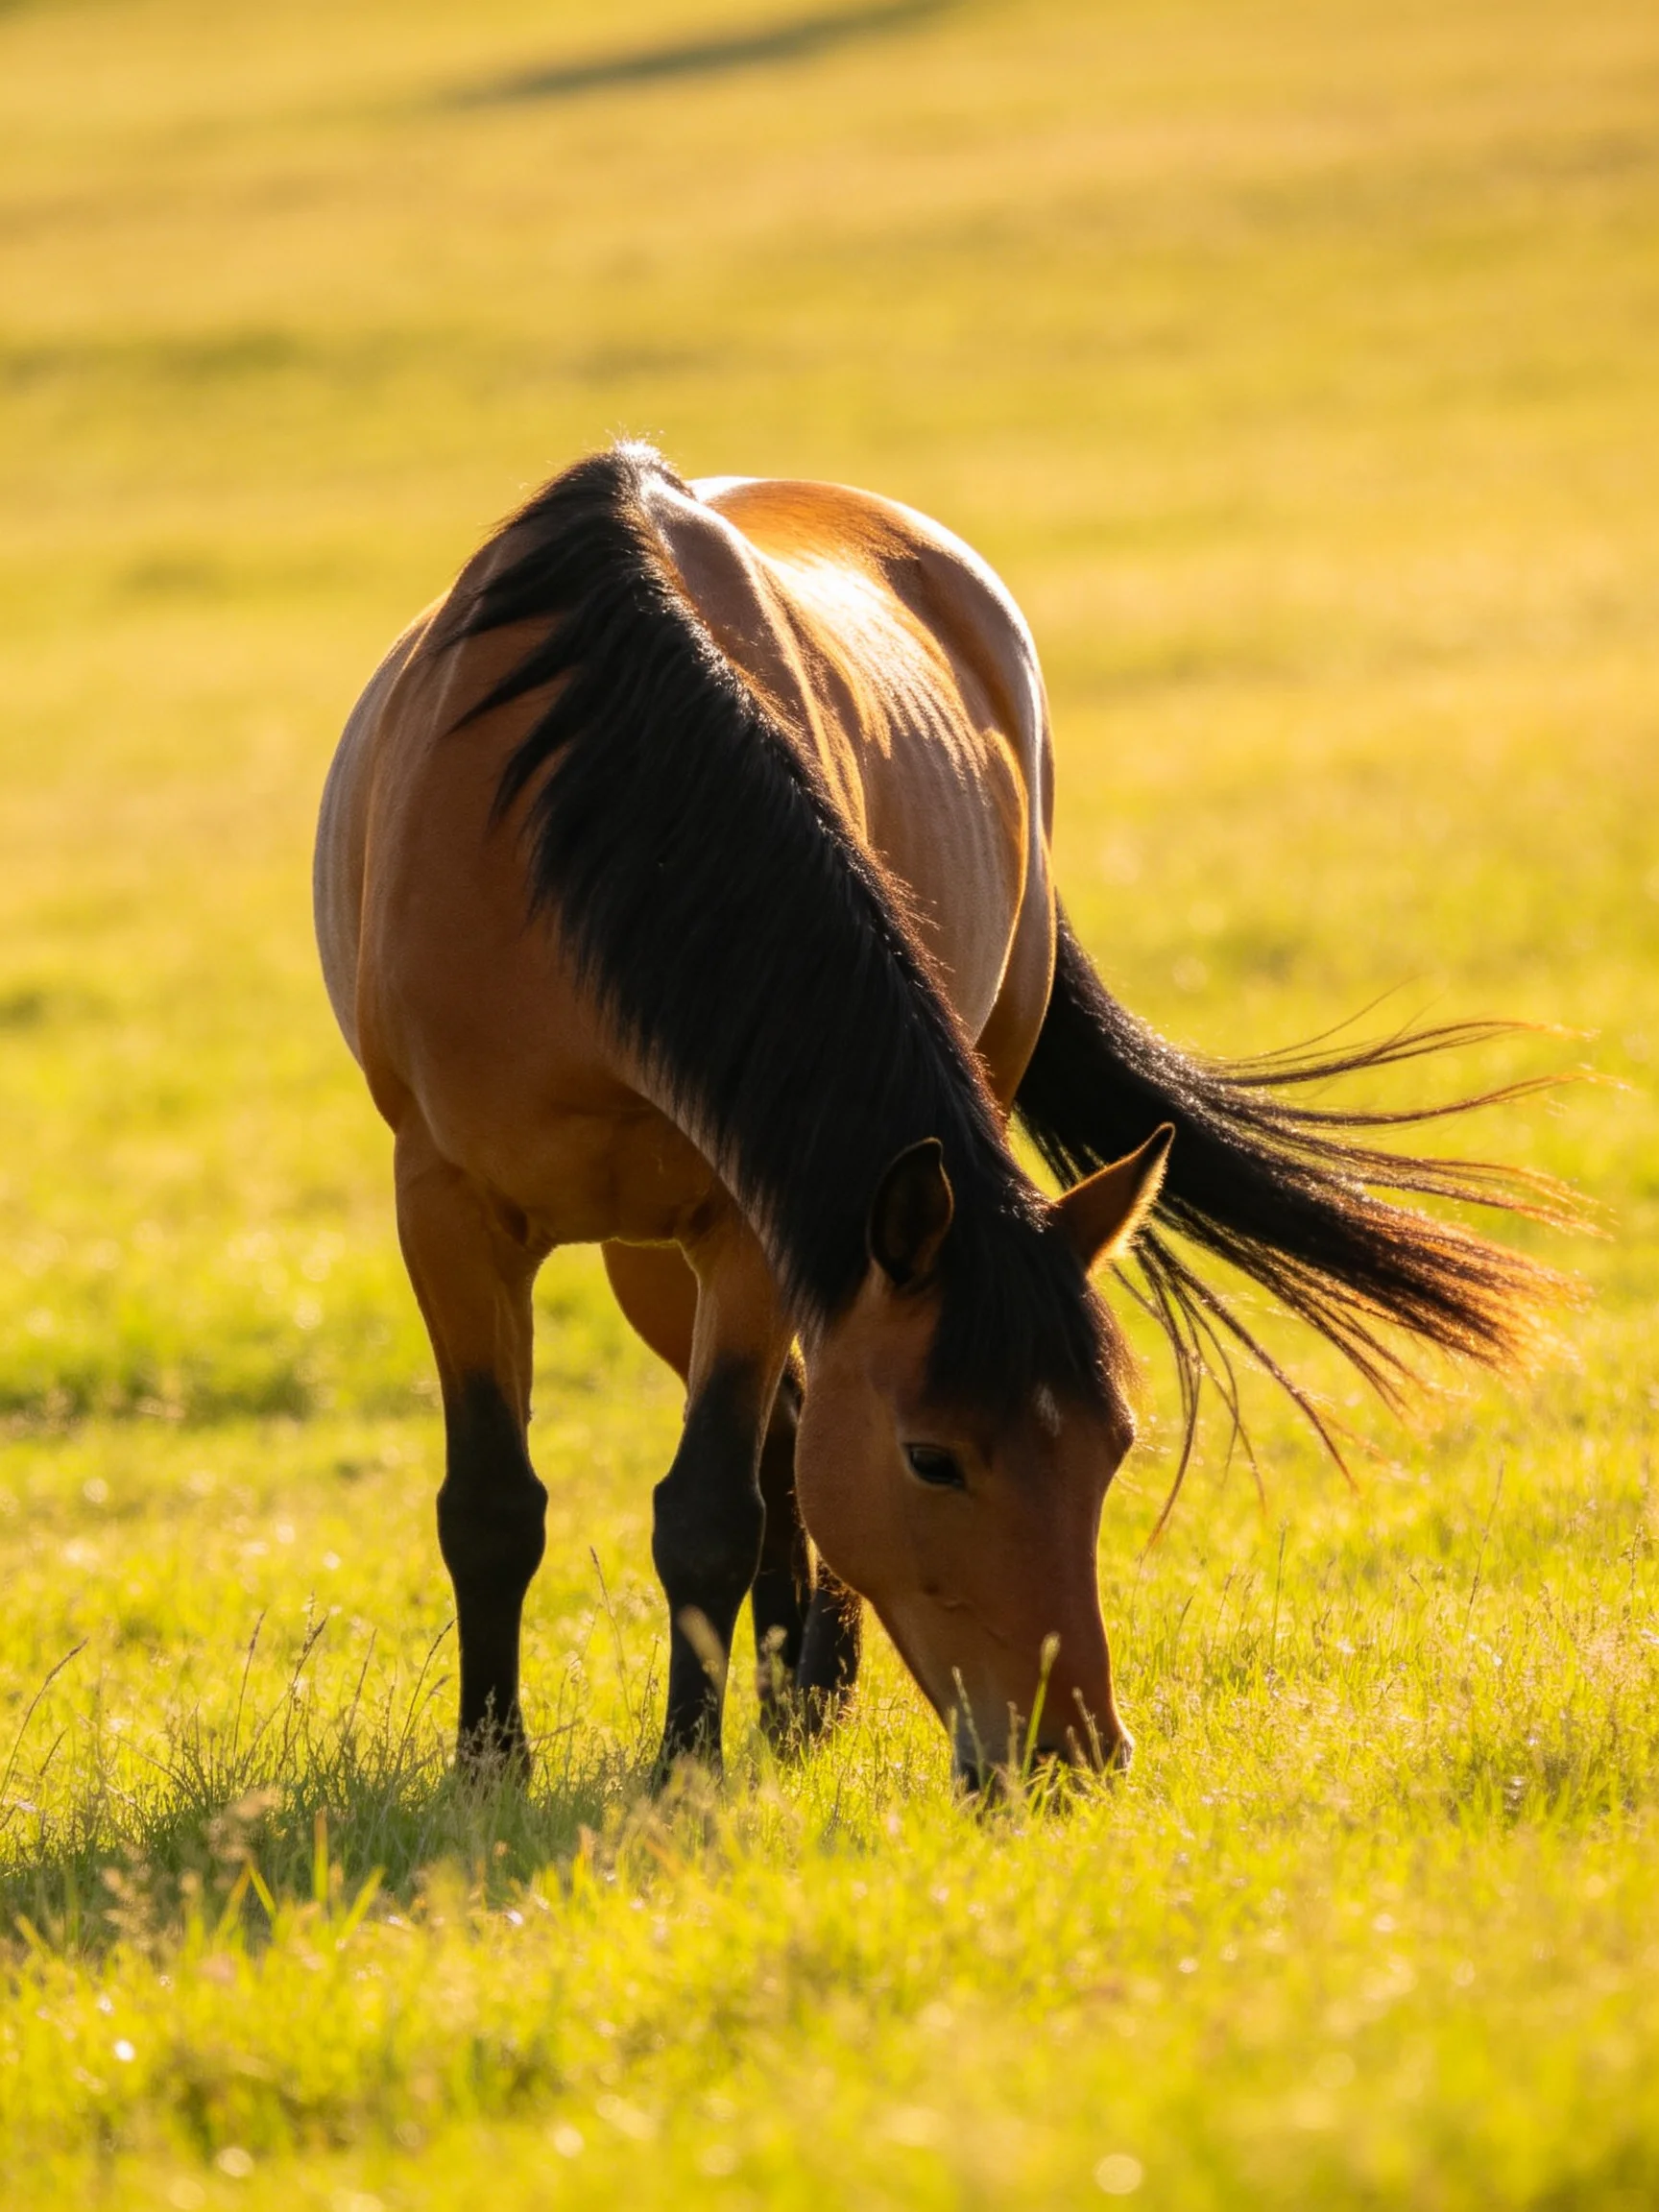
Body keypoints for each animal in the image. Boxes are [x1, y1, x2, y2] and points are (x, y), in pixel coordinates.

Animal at [314, 442, 1567, 1786]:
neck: (579, 827)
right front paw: (492, 1766)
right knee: (783, 1427)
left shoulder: (754, 1221)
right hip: (648, 1251)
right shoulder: (448, 1207)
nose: (1073, 1750)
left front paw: (688, 1768)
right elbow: (496, 1505)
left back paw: (803, 1692)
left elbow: (710, 1507)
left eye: (1115, 1445)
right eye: (933, 1459)